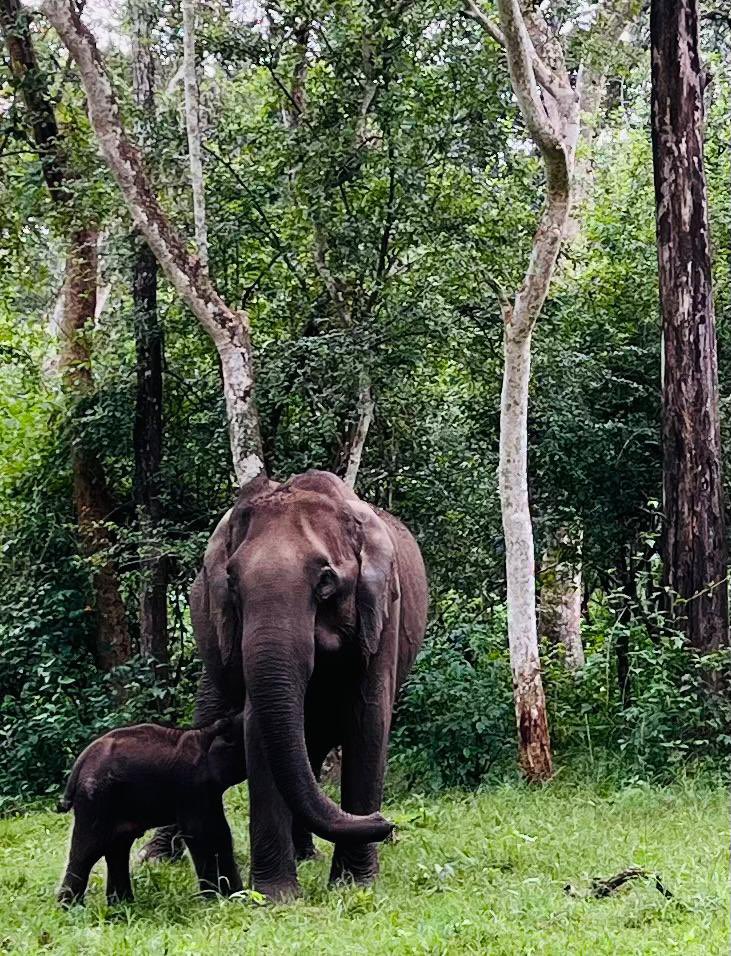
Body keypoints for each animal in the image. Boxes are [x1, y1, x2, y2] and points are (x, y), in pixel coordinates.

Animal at [57, 714, 246, 905]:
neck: (206, 733)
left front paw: (234, 896)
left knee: (117, 846)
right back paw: (72, 907)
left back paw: (122, 905)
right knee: (88, 851)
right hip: (96, 798)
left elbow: (218, 829)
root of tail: (80, 762)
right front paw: (221, 898)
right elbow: (203, 832)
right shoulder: (191, 786)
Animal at [141, 470, 428, 900]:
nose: (385, 822)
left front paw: (354, 885)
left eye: (326, 582)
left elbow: (368, 722)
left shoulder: (383, 615)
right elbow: (257, 729)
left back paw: (307, 854)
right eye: (231, 583)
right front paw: (276, 896)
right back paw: (155, 857)